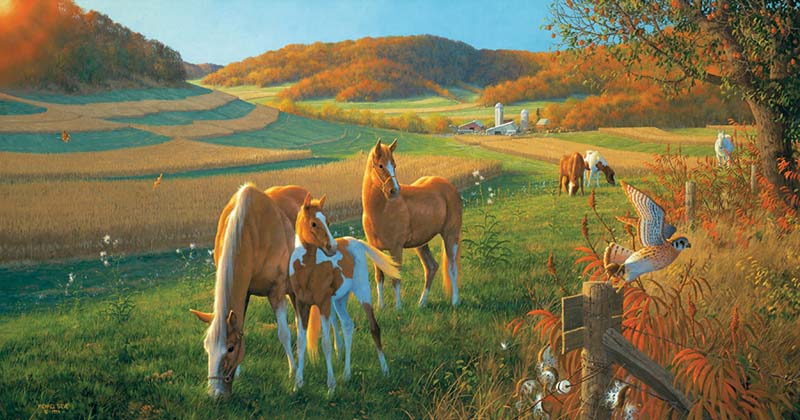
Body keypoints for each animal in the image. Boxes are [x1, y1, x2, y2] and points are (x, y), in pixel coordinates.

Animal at [190, 183, 308, 398]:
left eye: (230, 348)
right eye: (207, 348)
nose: (215, 394)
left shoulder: (276, 291)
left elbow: (284, 334)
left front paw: (294, 375)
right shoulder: (244, 293)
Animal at [289, 193, 398, 396]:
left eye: (328, 221)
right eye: (314, 223)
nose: (331, 248)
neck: (307, 270)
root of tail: (355, 242)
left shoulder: (323, 303)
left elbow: (326, 343)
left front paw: (331, 386)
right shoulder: (301, 305)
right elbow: (300, 342)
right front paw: (297, 384)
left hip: (362, 291)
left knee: (374, 327)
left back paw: (385, 370)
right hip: (340, 299)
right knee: (348, 325)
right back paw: (347, 374)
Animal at [362, 139, 462, 309]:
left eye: (394, 165)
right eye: (381, 165)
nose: (394, 191)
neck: (381, 210)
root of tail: (449, 186)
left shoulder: (396, 249)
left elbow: (395, 278)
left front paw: (398, 308)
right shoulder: (375, 249)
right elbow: (379, 276)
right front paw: (380, 307)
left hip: (450, 236)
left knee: (452, 267)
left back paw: (455, 301)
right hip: (421, 244)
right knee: (431, 267)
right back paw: (421, 303)